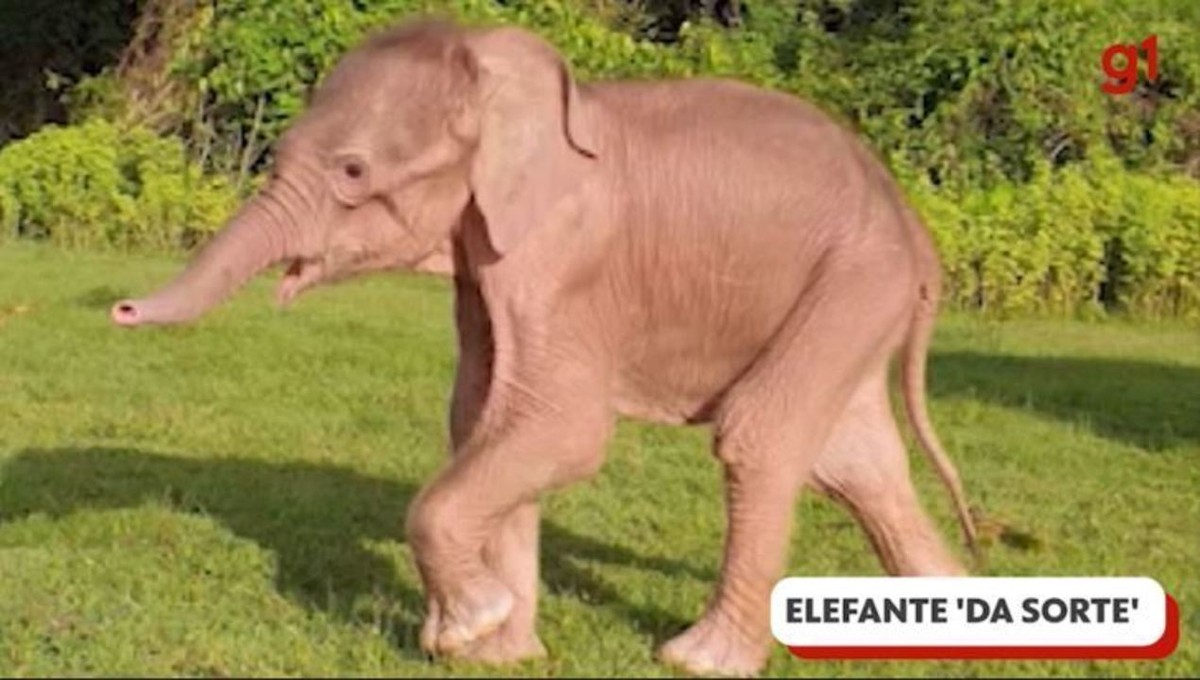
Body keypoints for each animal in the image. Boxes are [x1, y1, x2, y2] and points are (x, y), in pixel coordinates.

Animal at [109, 18, 978, 676]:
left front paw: (465, 627)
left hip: (854, 277)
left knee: (761, 437)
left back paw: (697, 659)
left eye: (353, 171)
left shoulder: (562, 258)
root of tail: (914, 228)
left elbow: (558, 426)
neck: (500, 74)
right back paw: (956, 623)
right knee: (854, 461)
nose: (118, 308)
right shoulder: (485, 260)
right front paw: (502, 654)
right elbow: (484, 419)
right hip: (851, 296)